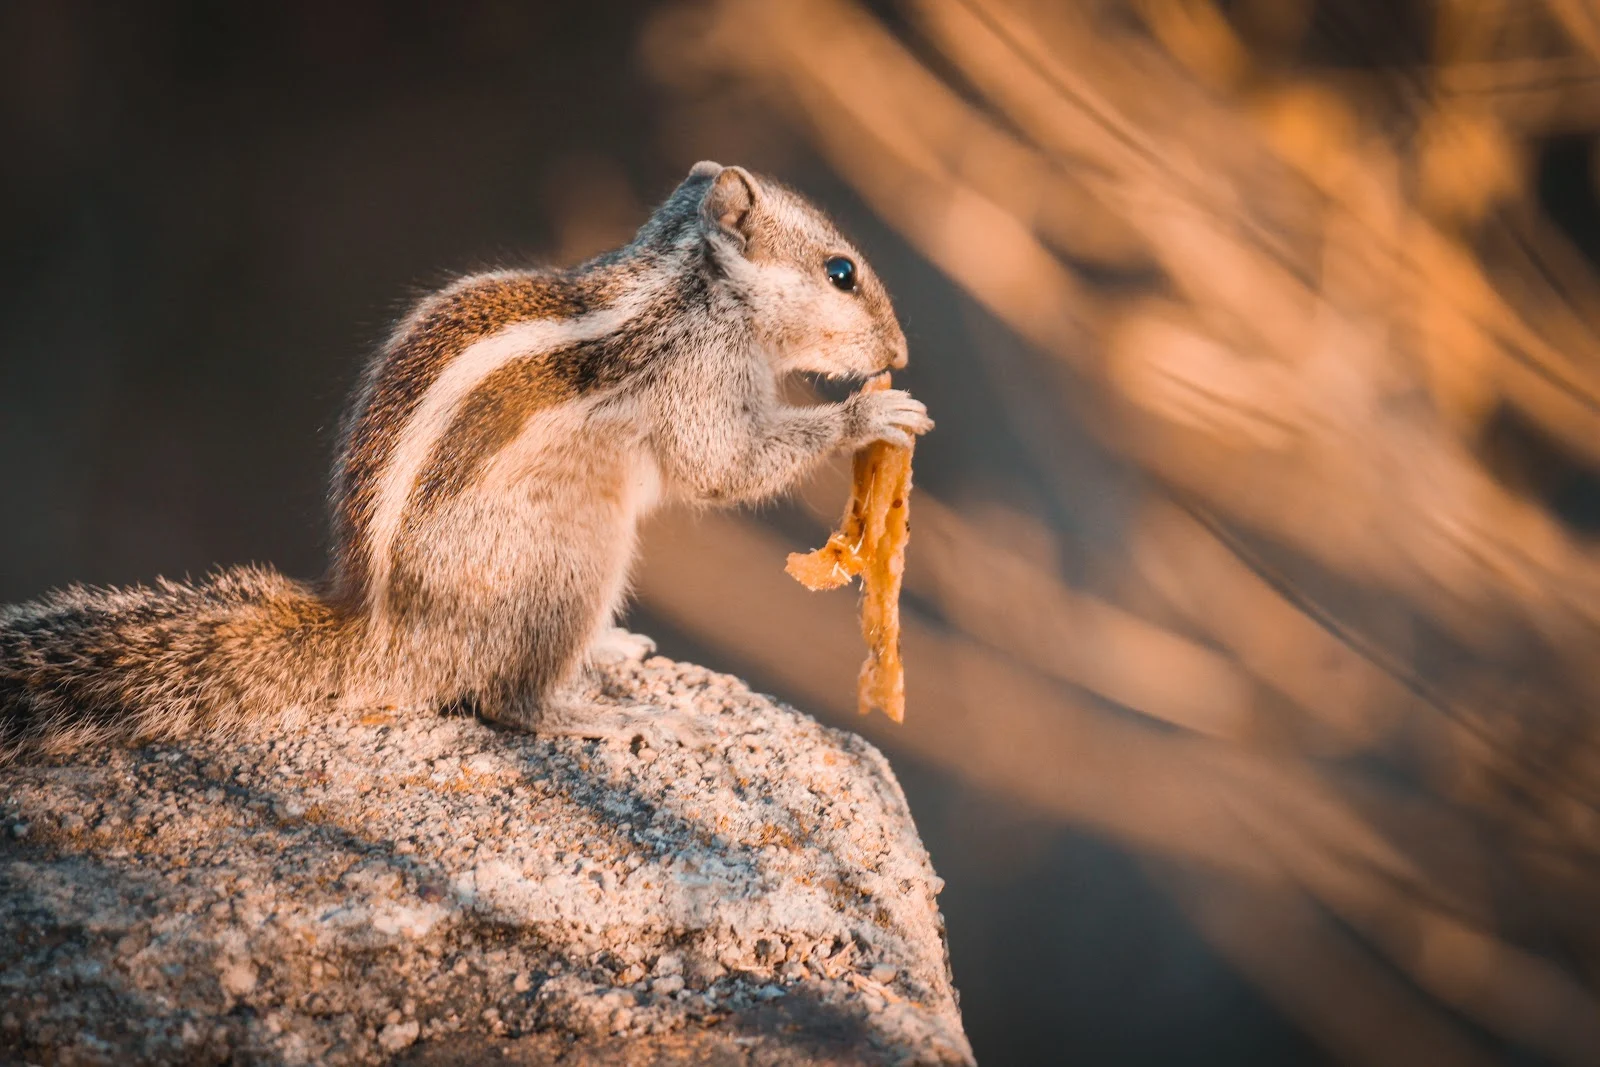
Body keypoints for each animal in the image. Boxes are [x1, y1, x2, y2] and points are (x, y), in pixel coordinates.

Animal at [0, 158, 934, 764]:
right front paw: (872, 412)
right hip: (571, 560)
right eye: (841, 272)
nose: (901, 350)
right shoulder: (695, 380)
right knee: (509, 701)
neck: (692, 286)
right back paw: (607, 714)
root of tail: (382, 640)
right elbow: (724, 465)